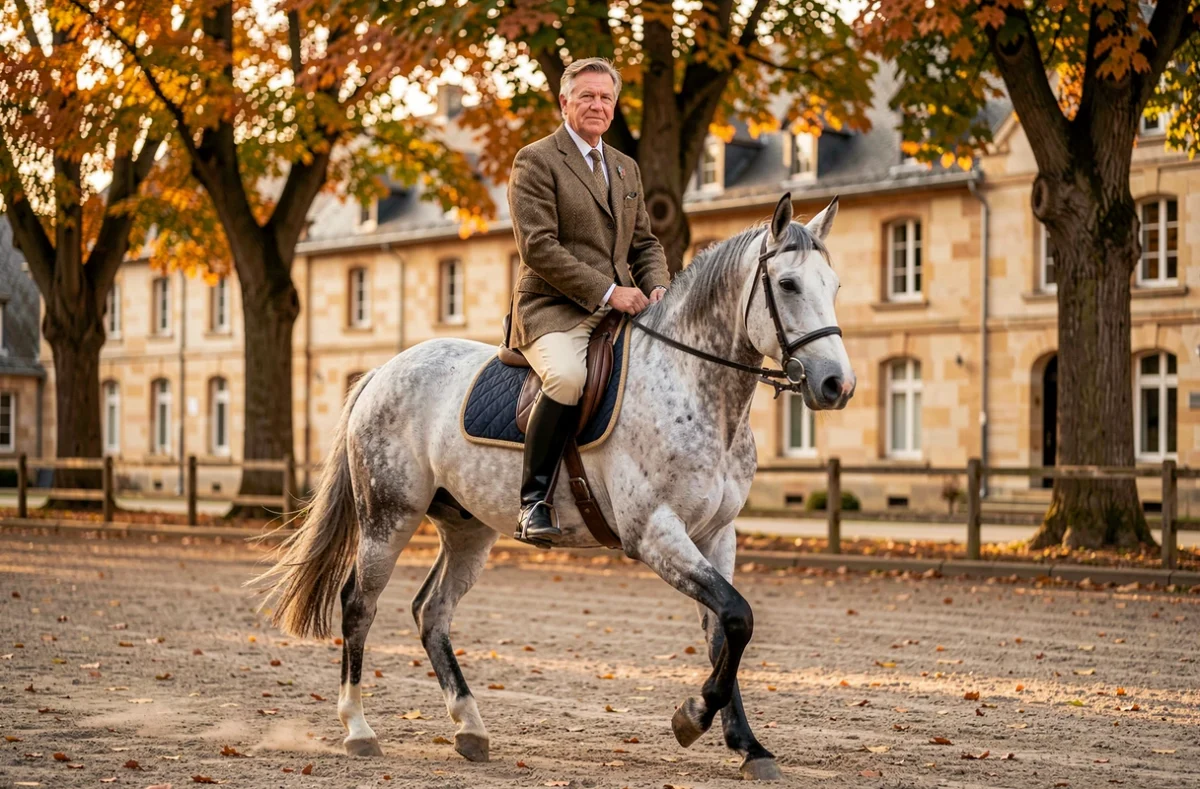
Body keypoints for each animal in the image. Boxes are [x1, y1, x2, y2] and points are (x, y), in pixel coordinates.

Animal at [254, 193, 855, 781]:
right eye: (788, 284)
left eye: (836, 285)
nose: (837, 385)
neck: (694, 388)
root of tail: (383, 370)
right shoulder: (656, 534)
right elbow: (737, 616)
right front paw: (692, 717)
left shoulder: (716, 534)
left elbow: (723, 629)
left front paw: (747, 745)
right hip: (388, 516)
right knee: (359, 605)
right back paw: (359, 730)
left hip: (467, 530)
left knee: (432, 612)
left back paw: (470, 728)